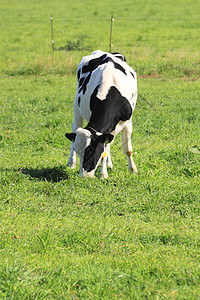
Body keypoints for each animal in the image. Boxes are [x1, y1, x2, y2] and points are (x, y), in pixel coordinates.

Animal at [65, 49, 138, 178]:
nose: (85, 176)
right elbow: (104, 149)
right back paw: (71, 162)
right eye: (78, 152)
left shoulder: (127, 122)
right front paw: (103, 174)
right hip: (77, 107)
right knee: (75, 127)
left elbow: (127, 149)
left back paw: (109, 164)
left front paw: (132, 169)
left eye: (91, 151)